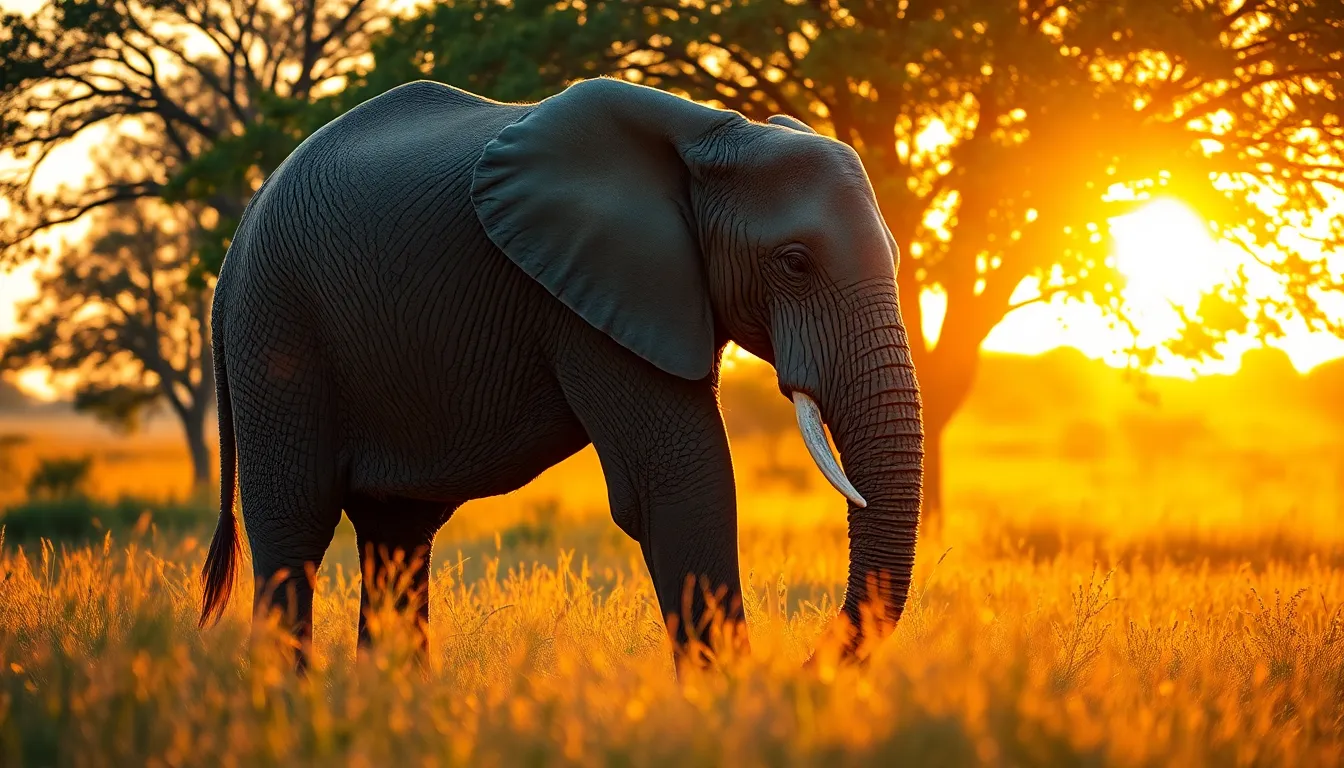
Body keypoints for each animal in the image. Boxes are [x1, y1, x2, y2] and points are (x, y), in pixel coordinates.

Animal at [199, 77, 924, 668]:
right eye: (795, 263)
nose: (801, 668)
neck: (714, 136)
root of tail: (233, 249)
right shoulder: (585, 295)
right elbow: (679, 479)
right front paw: (732, 708)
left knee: (396, 534)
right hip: (276, 322)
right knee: (295, 522)